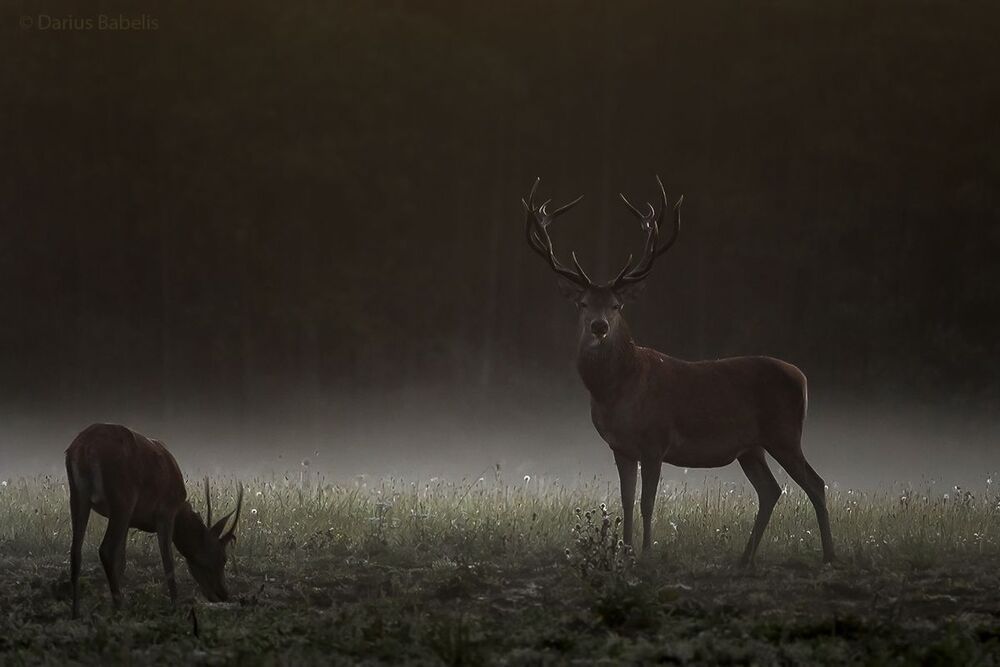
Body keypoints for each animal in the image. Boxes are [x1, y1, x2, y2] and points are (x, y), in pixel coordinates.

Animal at [65, 423, 243, 618]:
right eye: (223, 558)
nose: (223, 594)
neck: (180, 510)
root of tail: (84, 448)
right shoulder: (165, 512)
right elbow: (168, 560)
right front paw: (175, 605)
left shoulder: (130, 521)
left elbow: (122, 561)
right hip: (122, 500)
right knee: (106, 549)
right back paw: (119, 607)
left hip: (78, 496)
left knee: (76, 550)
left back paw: (76, 611)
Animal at [522, 177, 835, 565]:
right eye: (583, 303)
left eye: (617, 304)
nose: (599, 326)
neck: (617, 392)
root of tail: (802, 377)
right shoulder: (621, 447)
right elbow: (626, 501)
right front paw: (625, 551)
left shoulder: (656, 440)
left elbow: (647, 503)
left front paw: (645, 552)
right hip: (751, 447)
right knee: (771, 490)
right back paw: (745, 557)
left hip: (784, 433)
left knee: (815, 483)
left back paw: (829, 554)